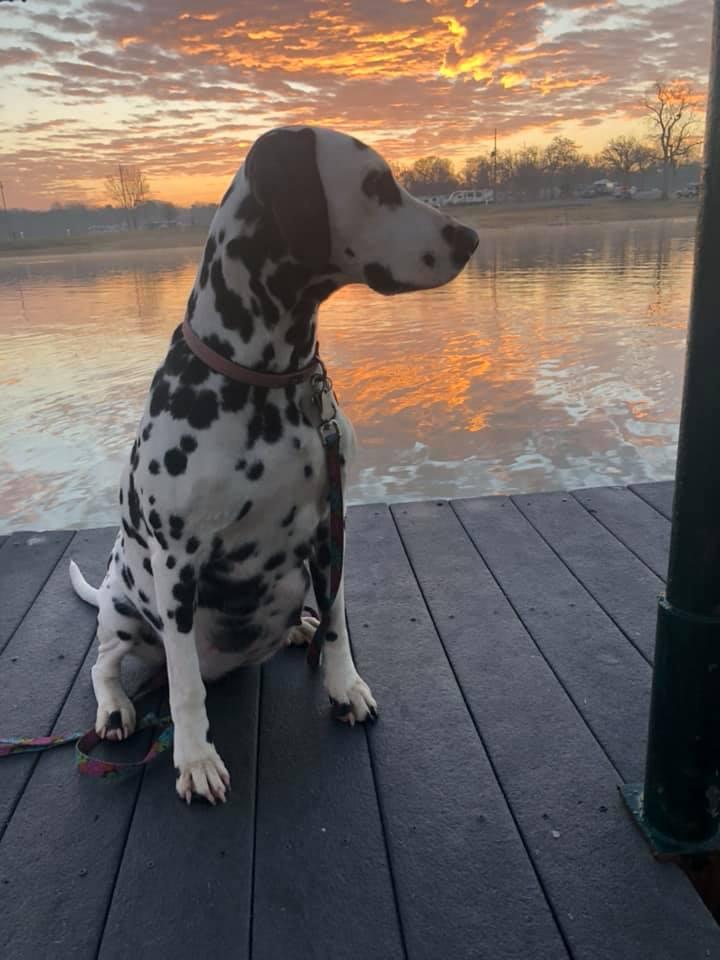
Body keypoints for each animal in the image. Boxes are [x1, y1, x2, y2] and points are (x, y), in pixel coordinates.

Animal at [69, 126, 479, 804]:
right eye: (376, 184)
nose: (469, 237)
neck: (266, 380)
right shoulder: (178, 562)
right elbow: (184, 686)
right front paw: (195, 758)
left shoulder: (328, 530)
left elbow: (338, 619)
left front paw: (344, 686)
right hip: (125, 605)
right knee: (106, 665)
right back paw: (116, 709)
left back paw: (296, 630)